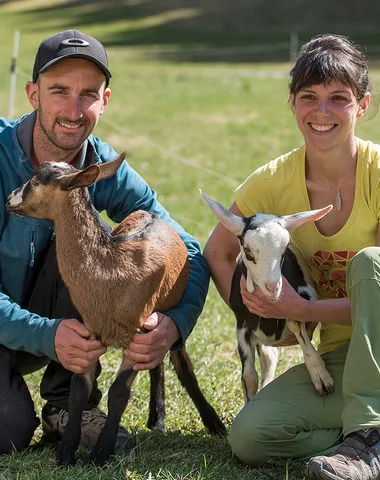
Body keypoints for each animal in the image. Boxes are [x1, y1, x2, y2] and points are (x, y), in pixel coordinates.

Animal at [200, 193, 334, 400]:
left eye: (286, 248)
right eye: (247, 250)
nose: (273, 287)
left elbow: (301, 334)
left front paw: (321, 377)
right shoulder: (242, 325)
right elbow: (249, 377)